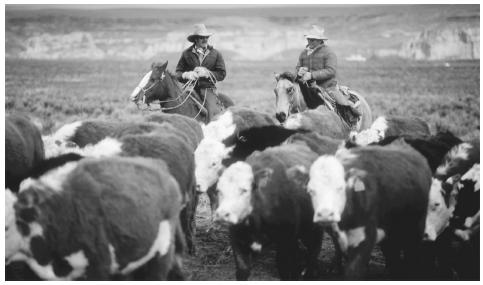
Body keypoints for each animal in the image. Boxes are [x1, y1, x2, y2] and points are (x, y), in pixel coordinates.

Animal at [216, 144, 324, 280]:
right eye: (219, 190)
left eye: (244, 190)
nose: (222, 214)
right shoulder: (237, 239)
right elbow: (242, 270)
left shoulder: (286, 242)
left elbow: (285, 270)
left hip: (313, 228)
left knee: (314, 249)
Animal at [308, 142, 432, 278]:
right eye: (310, 190)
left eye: (340, 188)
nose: (325, 214)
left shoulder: (366, 237)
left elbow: (353, 271)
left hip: (415, 228)